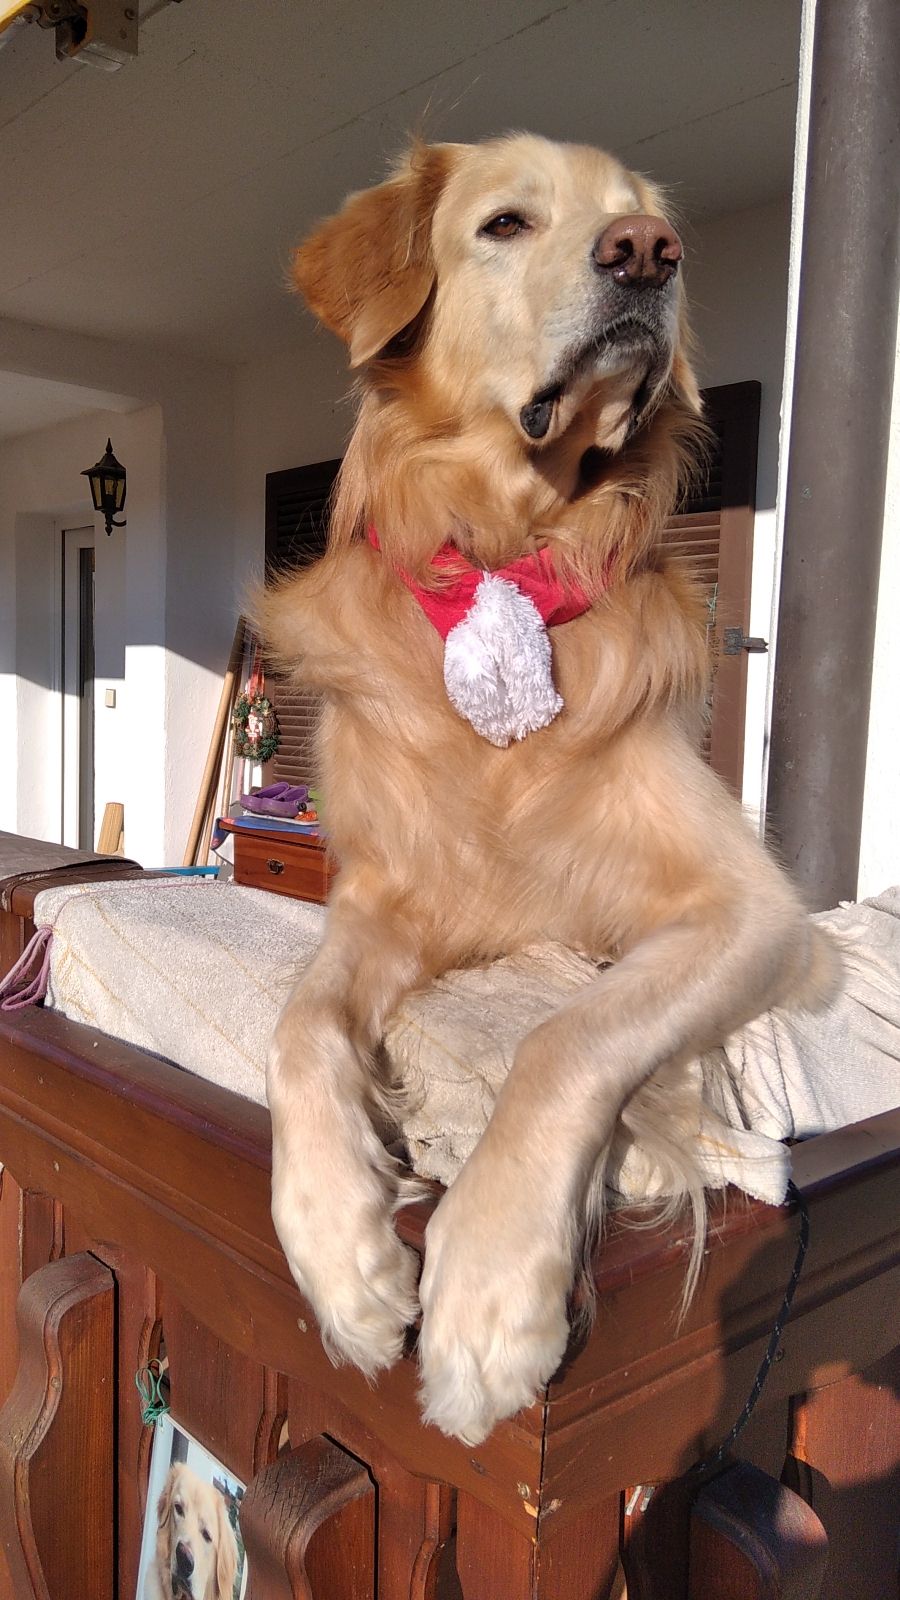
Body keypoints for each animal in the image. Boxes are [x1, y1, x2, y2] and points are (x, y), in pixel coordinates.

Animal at [256, 133, 837, 1446]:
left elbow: (567, 1036)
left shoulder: (752, 909)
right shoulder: (384, 896)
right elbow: (301, 1028)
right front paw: (345, 1257)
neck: (510, 555)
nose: (646, 255)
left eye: (644, 221)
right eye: (507, 222)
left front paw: (486, 1292)